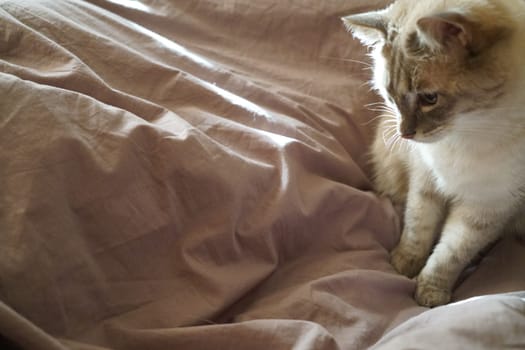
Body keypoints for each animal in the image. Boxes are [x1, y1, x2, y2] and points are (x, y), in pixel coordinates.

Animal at [342, 0, 525, 306]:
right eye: (391, 97)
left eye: (429, 99)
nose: (405, 134)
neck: (469, 133)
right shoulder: (426, 178)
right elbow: (417, 227)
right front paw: (403, 264)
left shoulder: (487, 205)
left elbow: (449, 256)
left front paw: (430, 293)